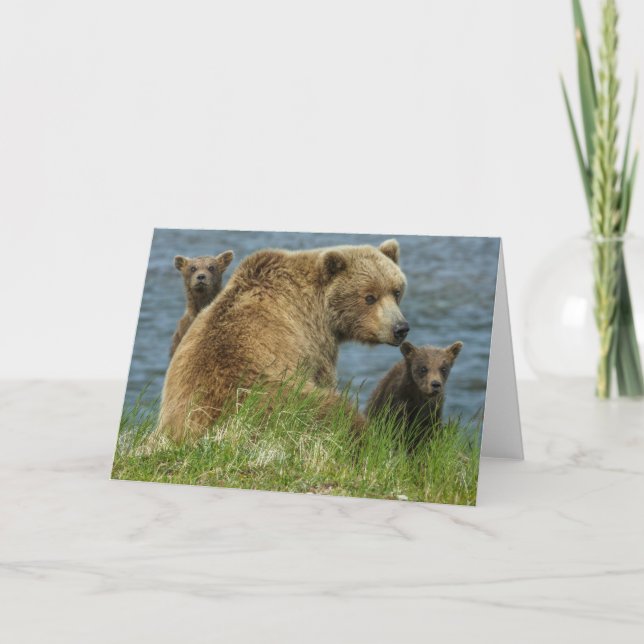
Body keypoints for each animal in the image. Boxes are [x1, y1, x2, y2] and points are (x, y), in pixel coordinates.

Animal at [155, 240, 409, 442]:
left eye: (396, 291)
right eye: (369, 297)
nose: (400, 328)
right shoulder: (313, 342)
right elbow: (325, 378)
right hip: (273, 401)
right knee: (331, 412)